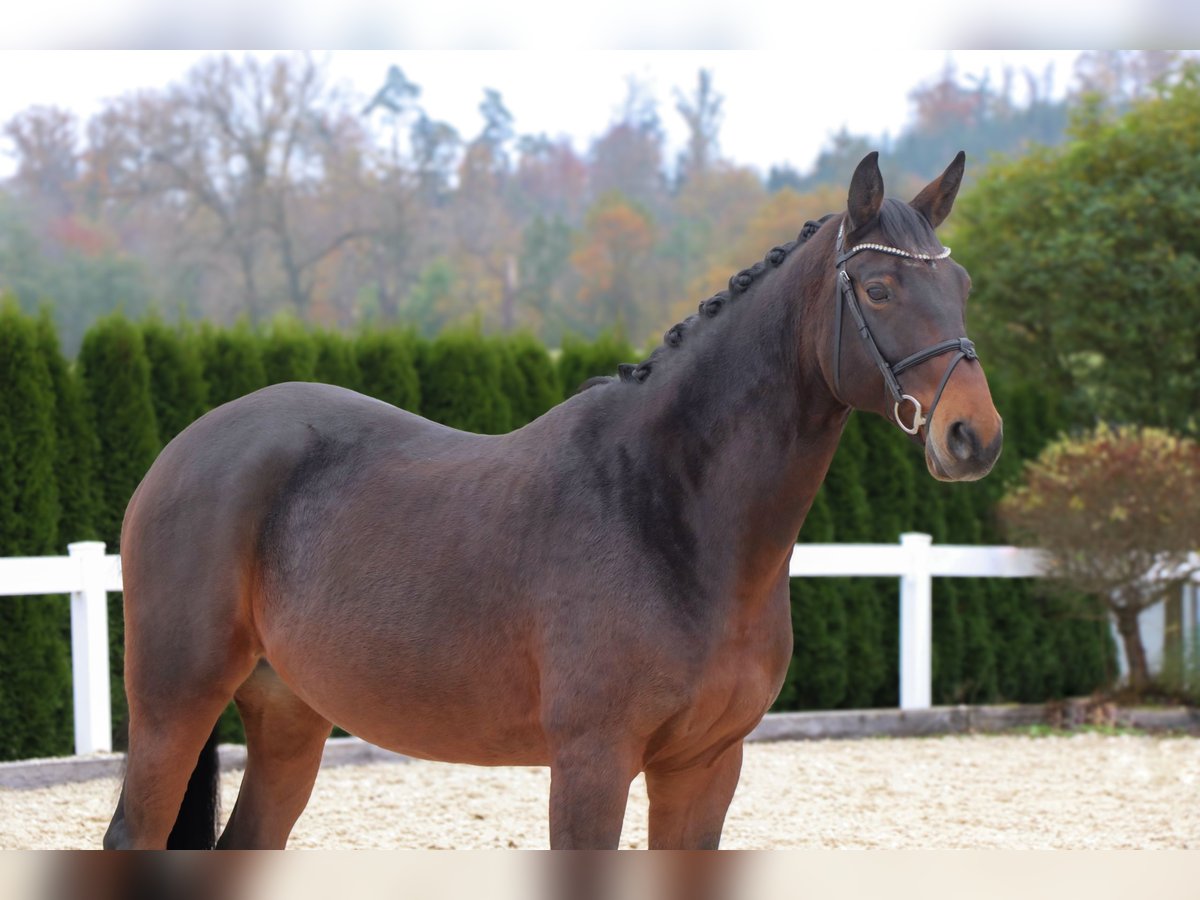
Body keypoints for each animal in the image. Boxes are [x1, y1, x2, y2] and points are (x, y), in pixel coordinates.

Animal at [103, 153, 1003, 854]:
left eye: (960, 283)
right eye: (879, 288)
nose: (973, 435)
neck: (671, 514)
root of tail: (186, 449)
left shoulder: (706, 765)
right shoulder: (592, 763)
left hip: (290, 717)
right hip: (175, 703)